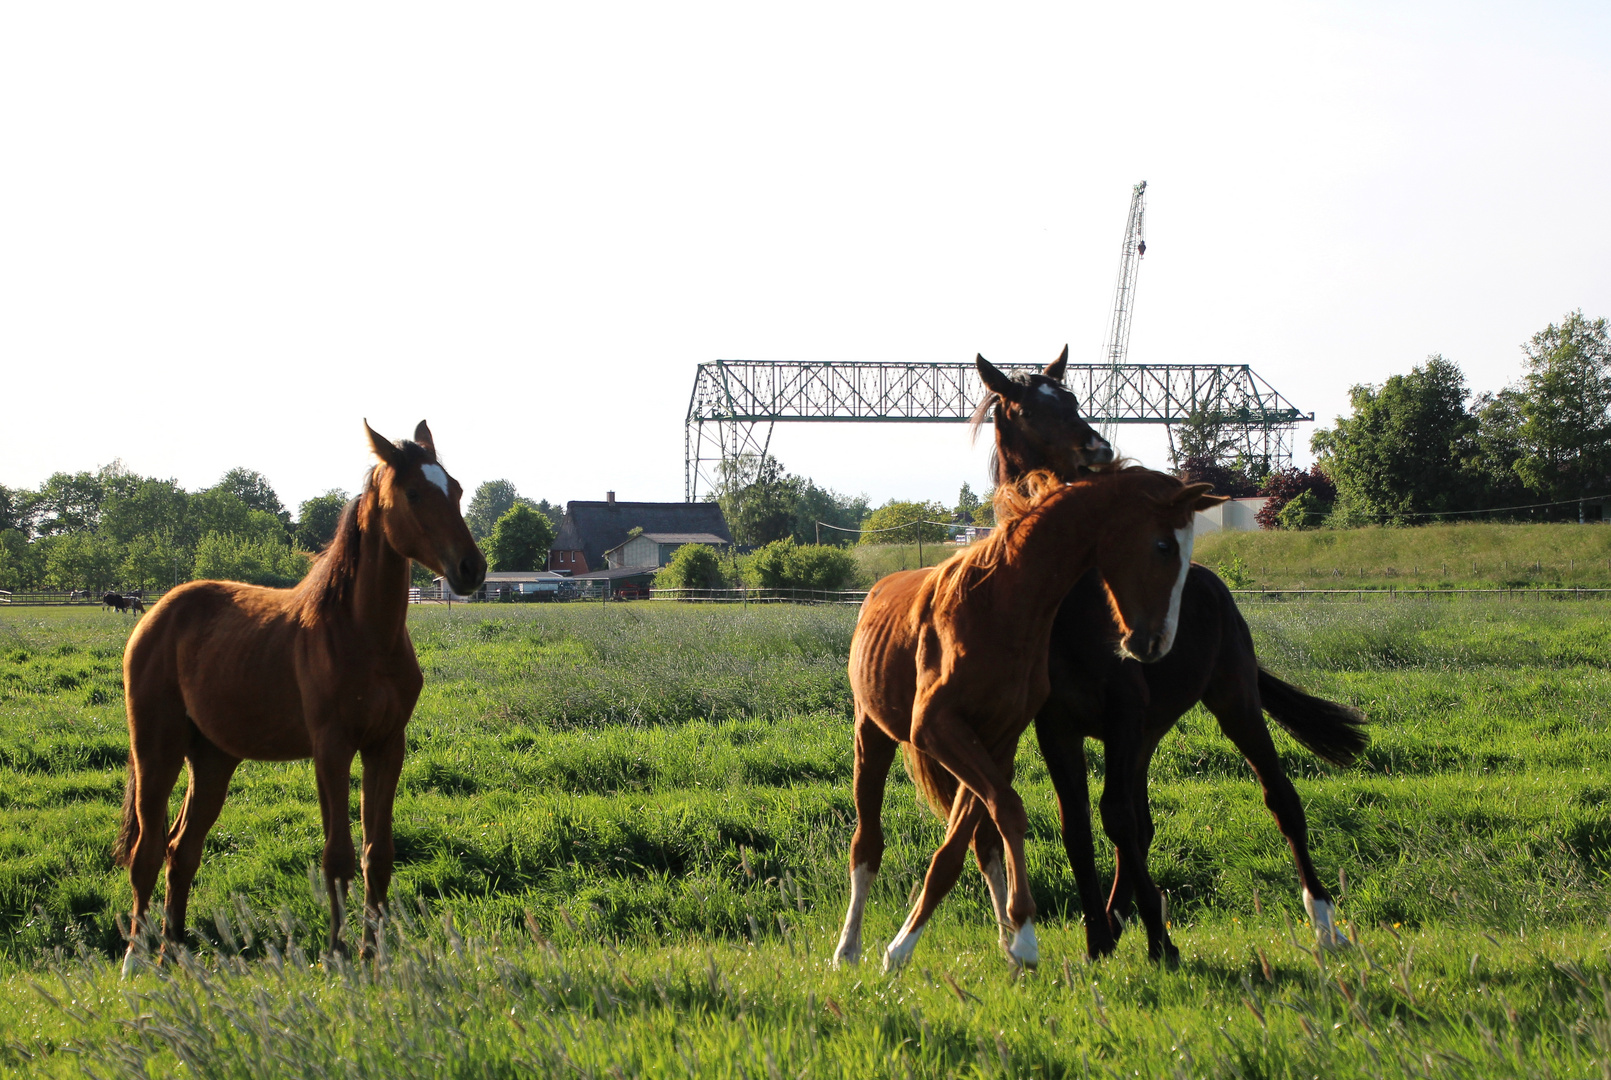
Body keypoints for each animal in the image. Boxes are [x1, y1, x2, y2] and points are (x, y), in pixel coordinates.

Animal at [114, 422, 483, 973]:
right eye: (414, 493)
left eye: (456, 489)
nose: (471, 568)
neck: (361, 632)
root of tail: (155, 613)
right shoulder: (330, 748)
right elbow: (338, 855)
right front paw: (338, 954)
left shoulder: (386, 745)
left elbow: (378, 854)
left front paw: (372, 955)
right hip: (157, 749)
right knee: (147, 851)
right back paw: (135, 961)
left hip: (213, 757)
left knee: (183, 849)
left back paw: (171, 951)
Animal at [831, 464, 1217, 973]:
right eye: (1163, 546)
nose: (1154, 643)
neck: (1000, 603)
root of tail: (876, 591)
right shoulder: (935, 728)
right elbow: (1007, 811)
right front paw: (1017, 936)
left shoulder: (997, 738)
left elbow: (970, 840)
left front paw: (1013, 940)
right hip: (871, 735)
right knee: (867, 844)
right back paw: (847, 949)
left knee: (983, 843)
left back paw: (1002, 943)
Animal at [934, 364, 1372, 967]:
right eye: (1025, 407)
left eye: (1073, 399)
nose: (1096, 449)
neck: (1074, 607)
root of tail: (1216, 587)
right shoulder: (1059, 727)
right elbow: (1081, 827)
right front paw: (1100, 939)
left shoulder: (1122, 712)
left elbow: (1115, 818)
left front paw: (1161, 943)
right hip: (1146, 734)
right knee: (1138, 824)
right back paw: (1120, 919)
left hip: (1232, 700)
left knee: (1278, 798)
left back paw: (1324, 922)